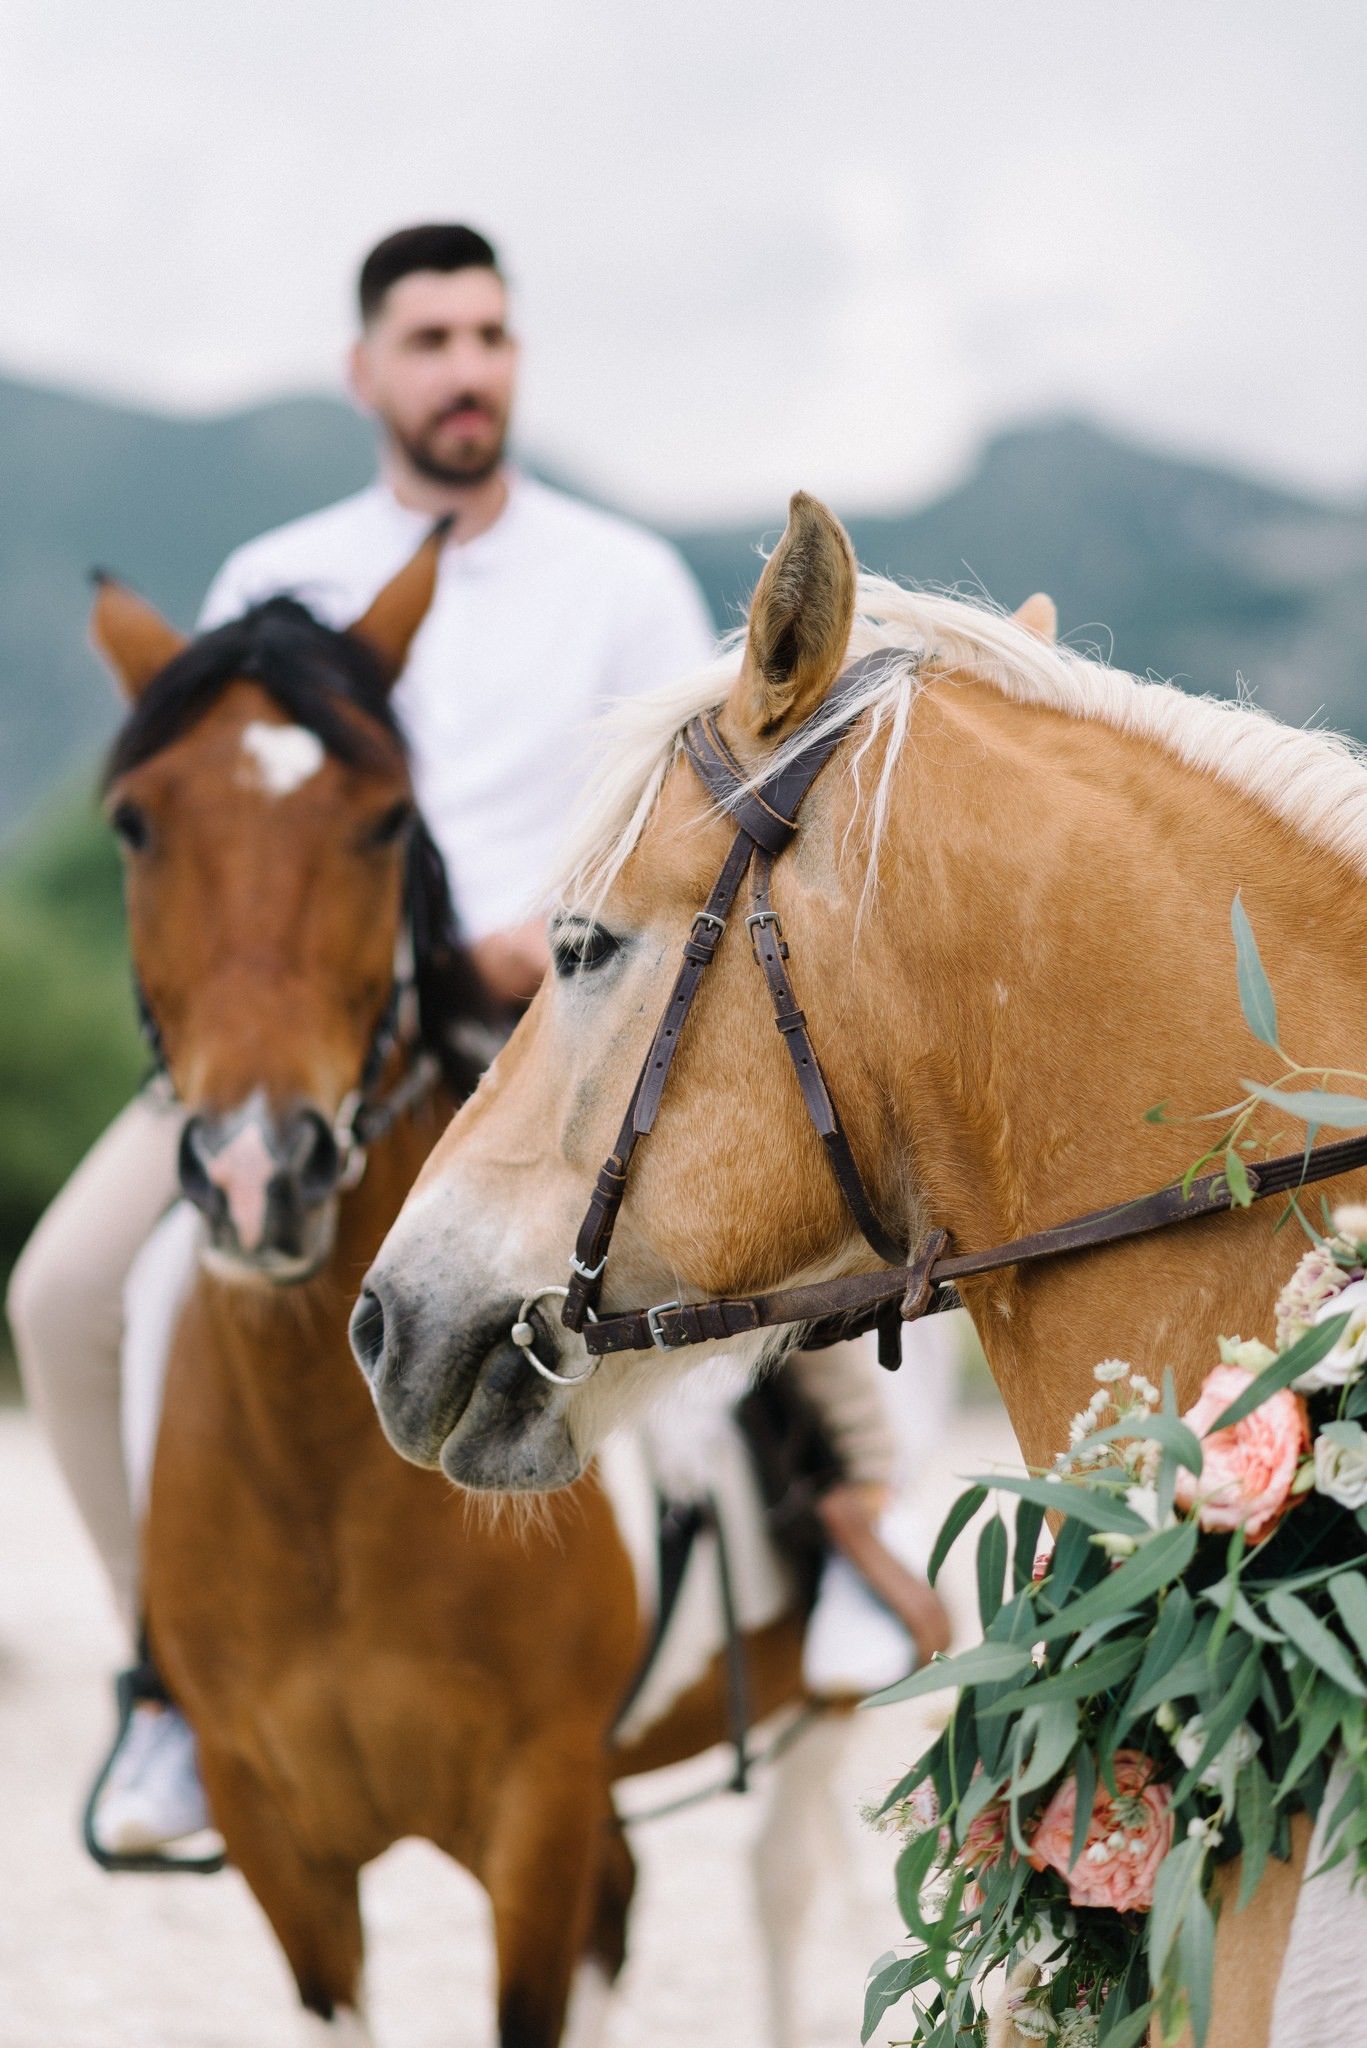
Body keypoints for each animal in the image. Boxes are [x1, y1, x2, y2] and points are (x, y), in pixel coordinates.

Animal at [91, 530, 849, 2048]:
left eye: (387, 820)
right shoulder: (282, 1847)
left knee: (790, 1898)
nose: (260, 1170)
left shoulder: (534, 1806)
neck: (324, 1480)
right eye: (137, 825)